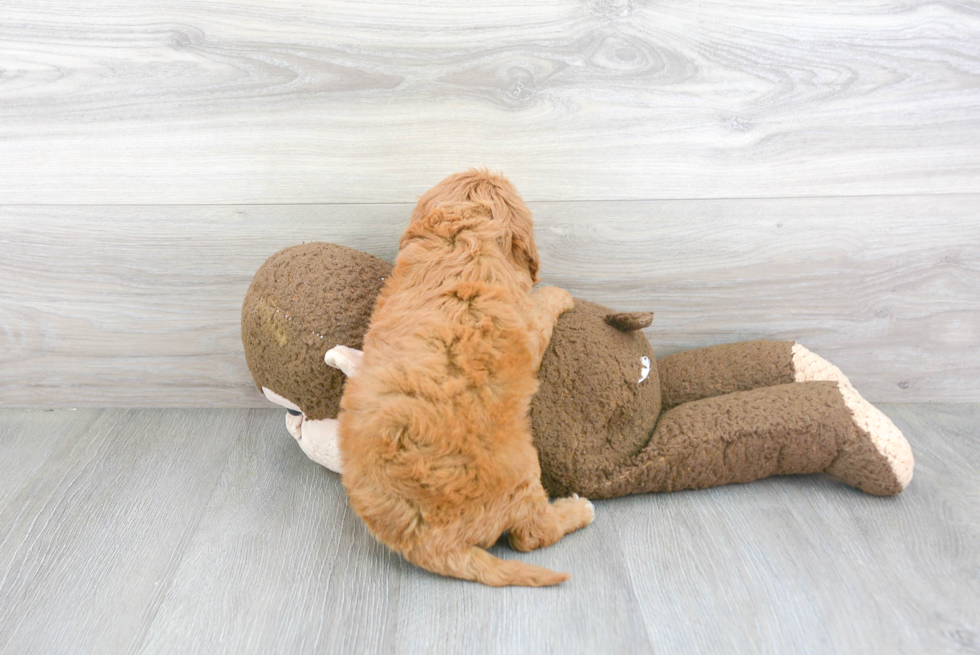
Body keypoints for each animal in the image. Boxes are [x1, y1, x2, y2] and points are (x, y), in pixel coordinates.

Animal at [340, 172, 592, 588]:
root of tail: (428, 544)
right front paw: (558, 293)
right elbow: (541, 307)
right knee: (532, 534)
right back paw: (578, 510)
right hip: (522, 473)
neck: (461, 241)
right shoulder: (527, 325)